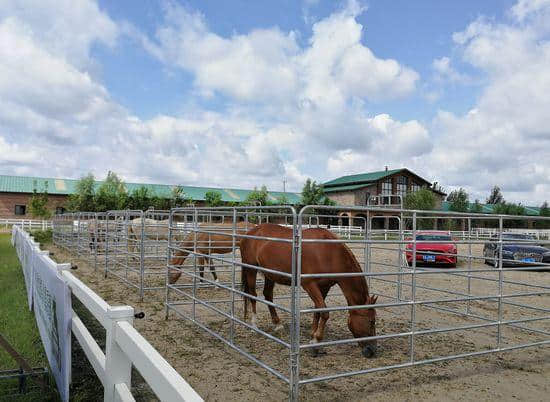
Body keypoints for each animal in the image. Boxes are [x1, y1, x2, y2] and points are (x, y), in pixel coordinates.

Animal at [242, 223, 380, 358]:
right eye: (371, 321)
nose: (372, 350)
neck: (329, 253)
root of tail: (250, 232)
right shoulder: (309, 285)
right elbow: (324, 312)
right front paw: (316, 342)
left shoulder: (324, 287)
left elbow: (317, 311)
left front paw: (313, 338)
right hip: (251, 269)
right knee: (253, 294)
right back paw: (254, 325)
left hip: (270, 274)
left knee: (268, 295)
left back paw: (277, 324)